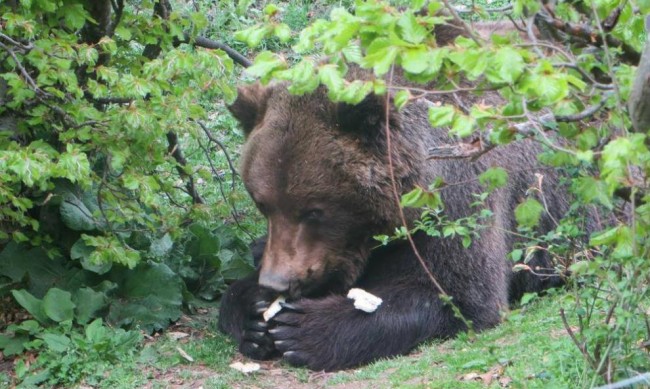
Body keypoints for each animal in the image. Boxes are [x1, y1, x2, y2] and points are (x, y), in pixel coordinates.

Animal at [218, 76, 568, 370]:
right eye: (263, 204)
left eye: (313, 211)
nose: (276, 282)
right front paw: (253, 314)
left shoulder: (459, 200)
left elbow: (461, 293)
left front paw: (302, 328)